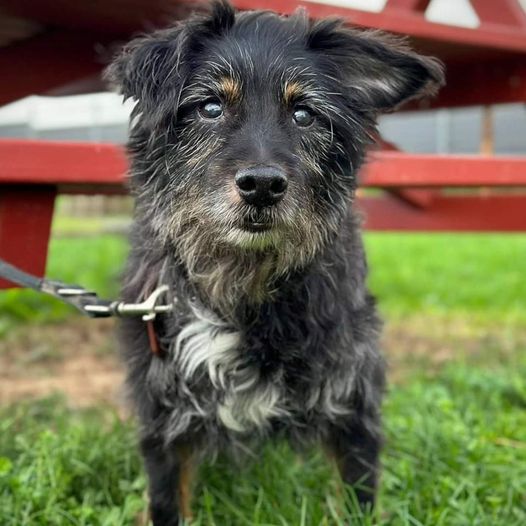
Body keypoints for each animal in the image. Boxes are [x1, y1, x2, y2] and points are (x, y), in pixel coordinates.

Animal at [107, 2, 446, 524]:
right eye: (210, 106)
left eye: (304, 114)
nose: (262, 185)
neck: (244, 281)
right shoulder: (163, 416)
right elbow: (166, 500)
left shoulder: (353, 403)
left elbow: (358, 495)